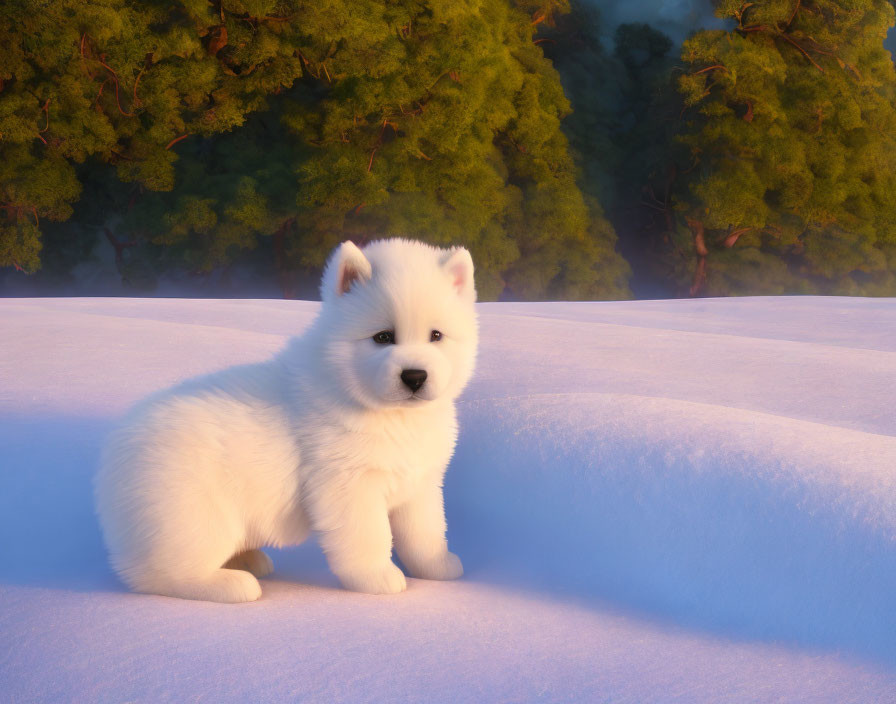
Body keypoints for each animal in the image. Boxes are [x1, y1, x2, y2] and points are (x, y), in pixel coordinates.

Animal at [93, 239, 476, 604]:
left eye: (436, 336)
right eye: (383, 337)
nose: (415, 376)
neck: (390, 415)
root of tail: (111, 459)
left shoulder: (420, 484)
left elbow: (425, 533)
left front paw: (438, 566)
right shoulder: (349, 486)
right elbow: (368, 536)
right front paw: (378, 579)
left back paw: (248, 561)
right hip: (194, 520)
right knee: (160, 573)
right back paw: (232, 584)